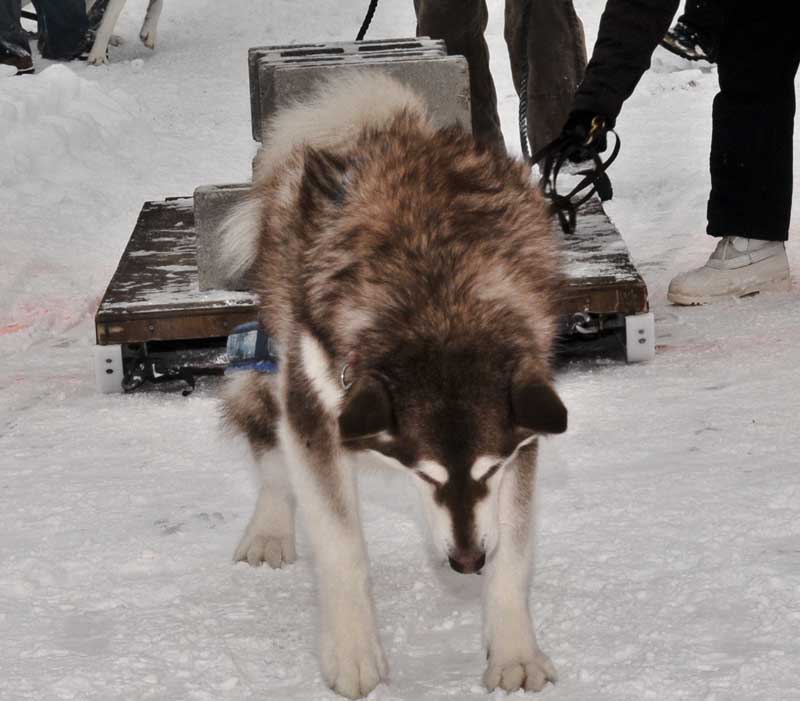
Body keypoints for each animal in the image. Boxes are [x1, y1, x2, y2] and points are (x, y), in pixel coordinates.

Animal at [222, 74, 564, 696]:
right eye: (426, 474)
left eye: (492, 472)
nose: (467, 562)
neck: (440, 295)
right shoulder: (315, 407)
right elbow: (340, 546)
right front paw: (353, 653)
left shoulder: (523, 430)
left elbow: (515, 547)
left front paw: (514, 650)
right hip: (272, 354)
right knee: (270, 447)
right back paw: (270, 528)